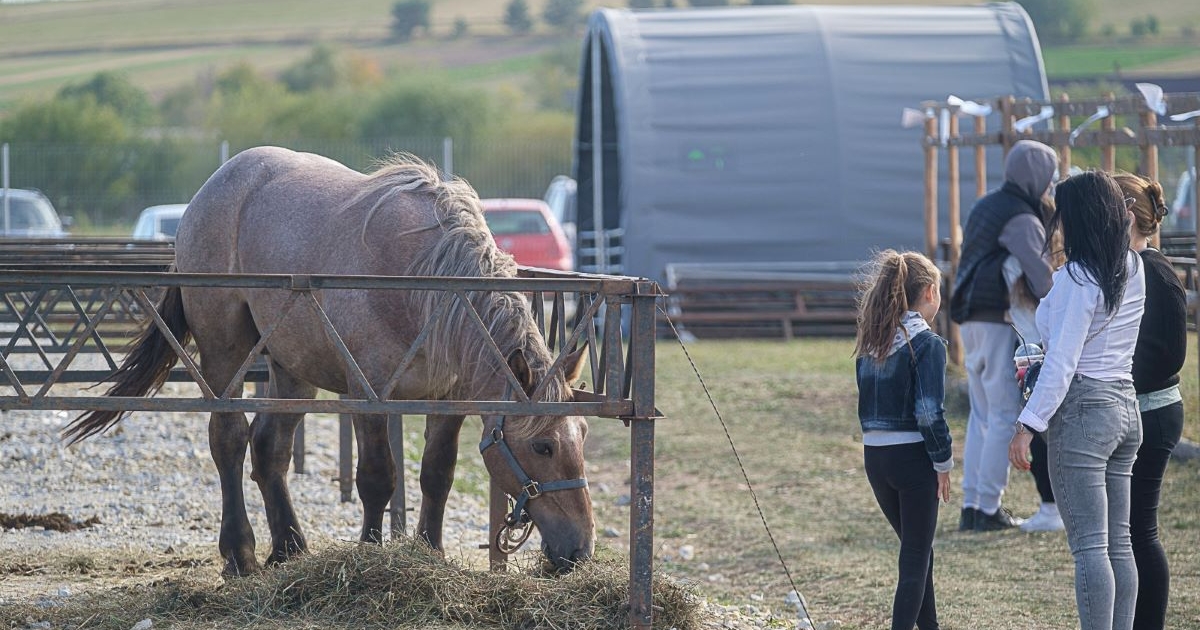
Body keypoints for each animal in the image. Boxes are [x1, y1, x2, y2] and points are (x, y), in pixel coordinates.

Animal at [63, 146, 592, 573]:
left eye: (582, 435)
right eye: (543, 447)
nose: (579, 550)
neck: (426, 287)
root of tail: (210, 190)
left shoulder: (449, 402)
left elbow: (436, 475)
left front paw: (431, 552)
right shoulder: (366, 395)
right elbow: (377, 478)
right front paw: (370, 553)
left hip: (292, 368)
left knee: (269, 449)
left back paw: (288, 548)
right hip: (224, 354)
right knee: (229, 441)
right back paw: (240, 554)